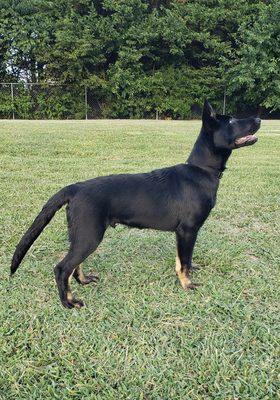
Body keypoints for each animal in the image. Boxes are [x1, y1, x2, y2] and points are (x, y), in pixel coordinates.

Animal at [10, 101, 260, 308]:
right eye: (232, 121)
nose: (259, 119)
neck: (201, 170)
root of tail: (75, 188)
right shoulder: (188, 230)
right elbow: (185, 262)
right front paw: (187, 284)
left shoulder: (182, 233)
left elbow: (182, 259)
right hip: (90, 235)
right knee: (62, 268)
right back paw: (68, 302)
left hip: (80, 234)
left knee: (73, 265)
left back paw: (83, 281)